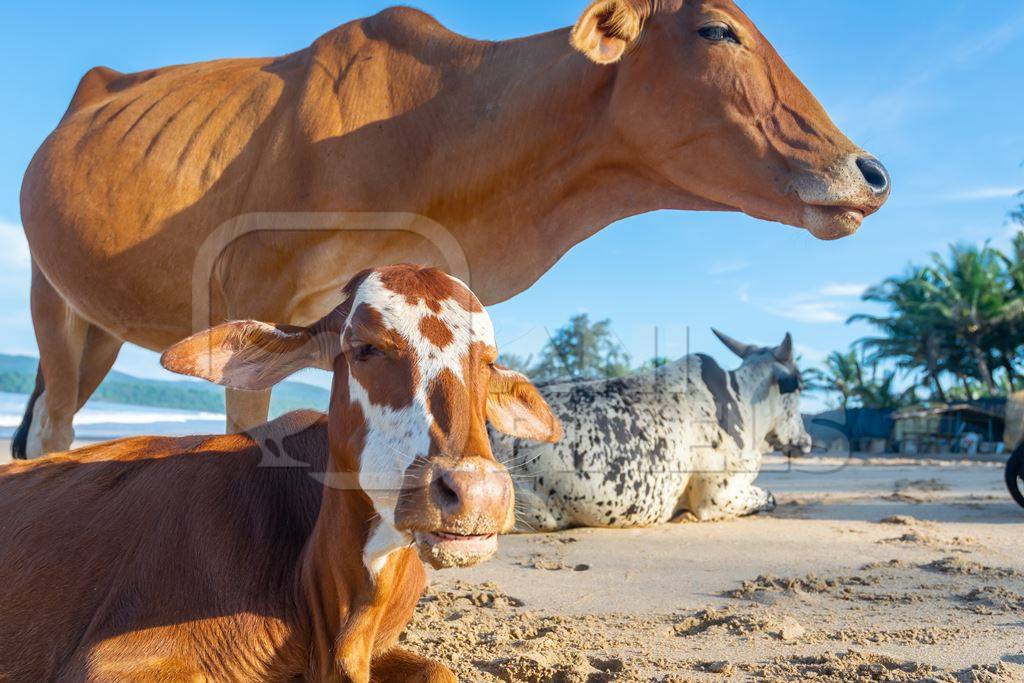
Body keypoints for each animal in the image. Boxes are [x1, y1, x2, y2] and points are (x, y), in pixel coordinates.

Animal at [19, 2, 892, 458]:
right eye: (717, 30)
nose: (870, 171)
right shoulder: (252, 298)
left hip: (100, 327)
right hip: (49, 299)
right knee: (51, 427)